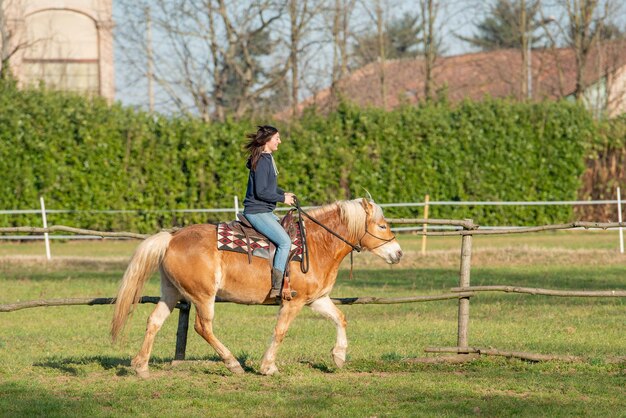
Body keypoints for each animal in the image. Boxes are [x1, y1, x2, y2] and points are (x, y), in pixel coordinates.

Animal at [109, 198, 402, 378]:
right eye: (382, 225)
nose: (398, 253)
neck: (316, 244)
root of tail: (171, 238)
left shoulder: (317, 299)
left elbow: (340, 318)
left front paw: (339, 356)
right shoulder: (294, 302)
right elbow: (280, 331)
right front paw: (267, 367)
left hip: (171, 292)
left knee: (154, 321)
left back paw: (141, 366)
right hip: (203, 296)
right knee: (203, 327)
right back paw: (232, 363)